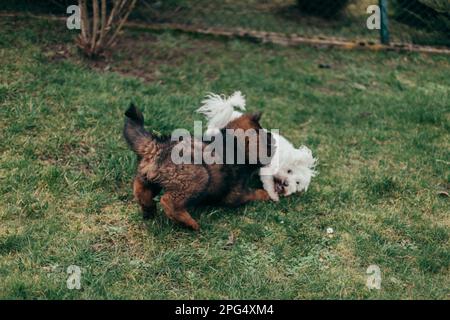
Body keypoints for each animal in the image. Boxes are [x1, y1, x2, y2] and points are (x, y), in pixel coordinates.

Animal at [122, 103, 274, 230]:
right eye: (268, 142)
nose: (275, 144)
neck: (235, 145)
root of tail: (159, 146)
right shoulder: (237, 194)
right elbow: (252, 193)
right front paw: (266, 194)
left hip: (148, 176)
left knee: (140, 189)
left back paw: (149, 209)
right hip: (199, 177)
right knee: (168, 202)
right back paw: (190, 223)